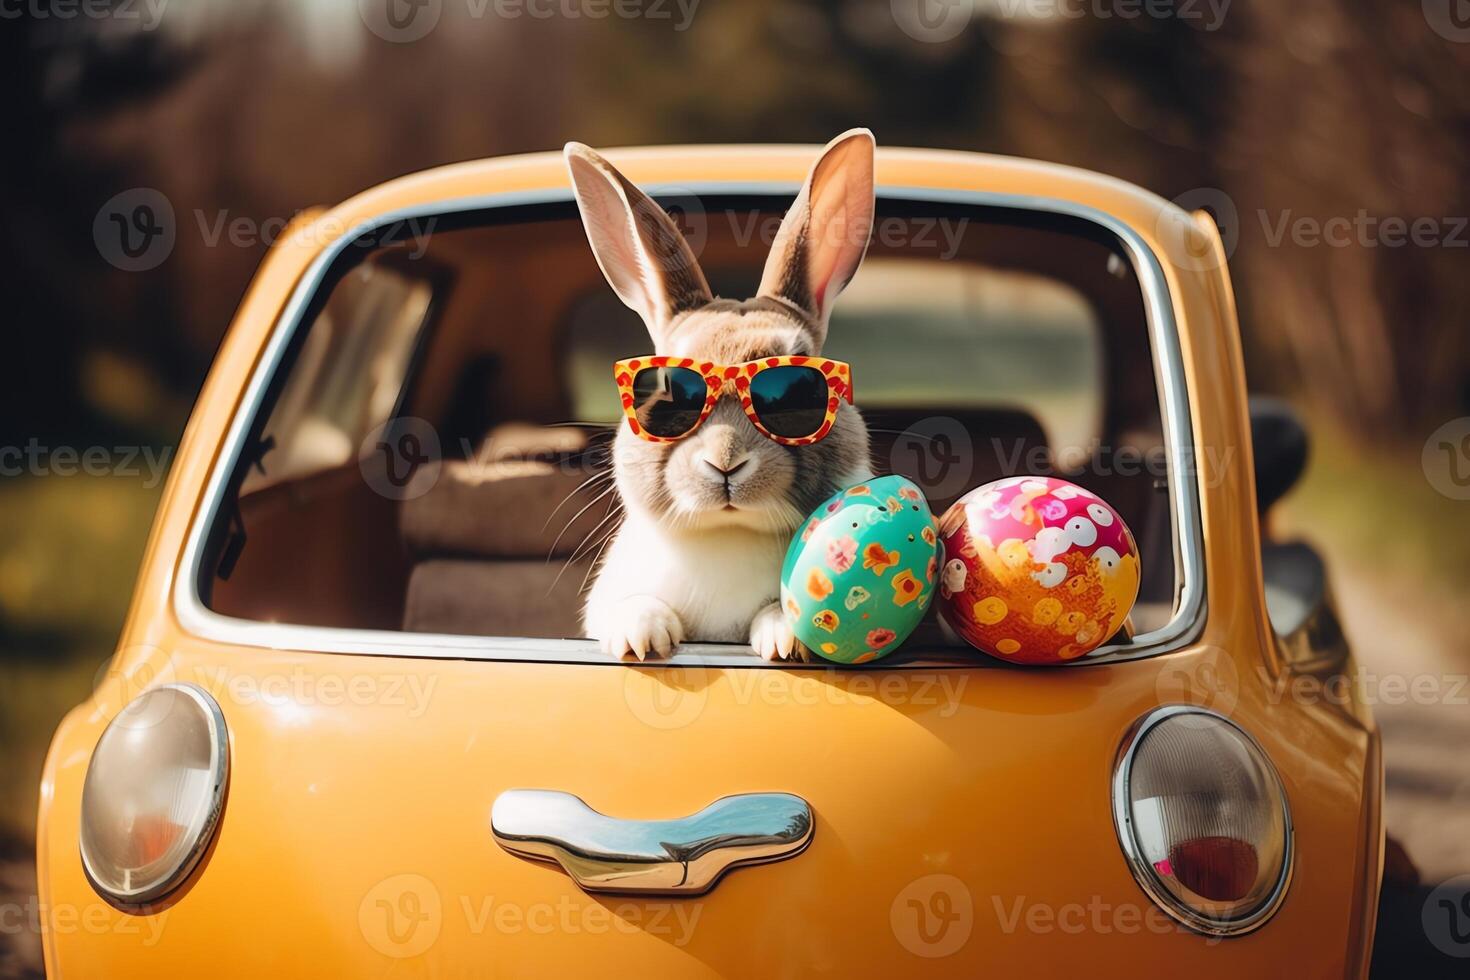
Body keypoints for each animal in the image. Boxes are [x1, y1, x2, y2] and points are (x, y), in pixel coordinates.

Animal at [567, 128, 876, 658]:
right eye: (671, 387)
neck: (729, 531)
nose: (726, 462)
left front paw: (785, 641)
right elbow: (630, 606)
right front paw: (642, 638)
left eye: (798, 390)